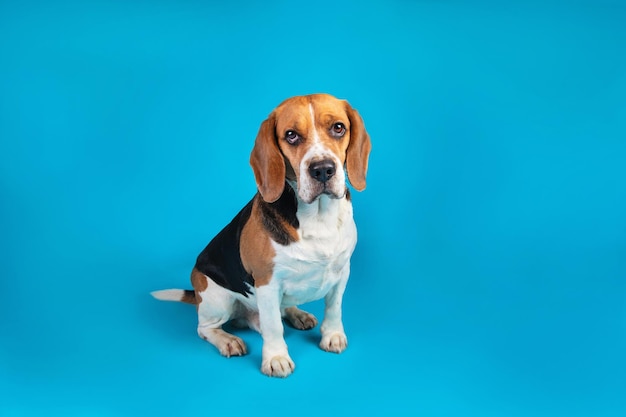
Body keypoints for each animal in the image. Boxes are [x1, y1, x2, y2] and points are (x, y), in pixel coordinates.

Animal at [151, 94, 370, 376]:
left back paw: (297, 314)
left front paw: (332, 335)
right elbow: (273, 326)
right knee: (205, 329)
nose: (322, 169)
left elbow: (334, 307)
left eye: (338, 128)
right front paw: (276, 358)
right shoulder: (267, 283)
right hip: (218, 299)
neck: (319, 216)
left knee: (279, 311)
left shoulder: (343, 271)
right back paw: (228, 340)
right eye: (291, 135)